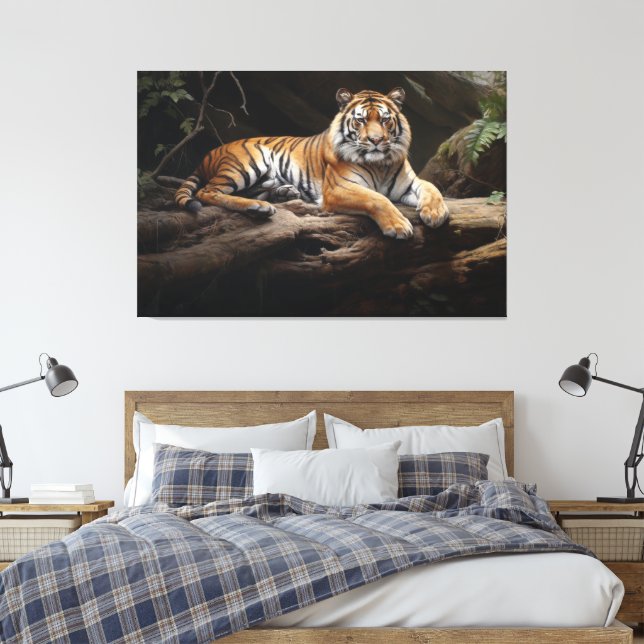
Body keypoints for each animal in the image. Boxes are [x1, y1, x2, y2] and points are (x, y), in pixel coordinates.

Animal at [175, 87, 449, 239]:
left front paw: (436, 212)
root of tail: (210, 152)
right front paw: (398, 226)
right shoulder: (338, 188)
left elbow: (431, 187)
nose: (376, 140)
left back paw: (282, 194)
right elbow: (377, 199)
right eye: (360, 120)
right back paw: (258, 207)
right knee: (208, 191)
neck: (380, 164)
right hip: (247, 162)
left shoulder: (409, 183)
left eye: (384, 120)